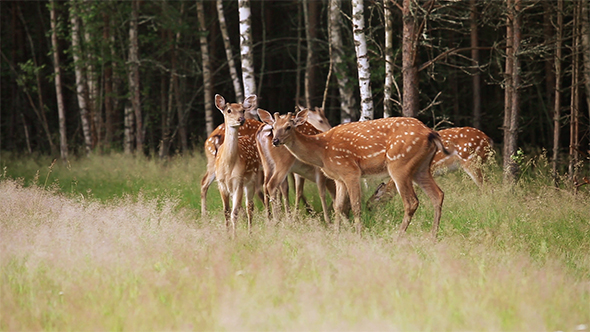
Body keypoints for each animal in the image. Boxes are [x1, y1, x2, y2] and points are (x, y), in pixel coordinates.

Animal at [214, 94, 262, 237]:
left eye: (242, 110)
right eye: (229, 110)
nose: (241, 119)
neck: (228, 165)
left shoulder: (238, 181)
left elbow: (234, 213)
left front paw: (234, 237)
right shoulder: (221, 183)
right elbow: (226, 211)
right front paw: (227, 235)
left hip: (252, 179)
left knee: (249, 206)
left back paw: (250, 233)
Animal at [262, 109, 450, 239]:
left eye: (288, 127)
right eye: (273, 127)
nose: (275, 140)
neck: (322, 152)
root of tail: (431, 133)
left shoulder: (350, 171)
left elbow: (355, 205)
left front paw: (358, 235)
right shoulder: (339, 178)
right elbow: (338, 206)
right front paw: (336, 235)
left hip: (399, 164)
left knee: (411, 202)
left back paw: (398, 237)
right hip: (421, 168)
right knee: (438, 194)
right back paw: (433, 237)